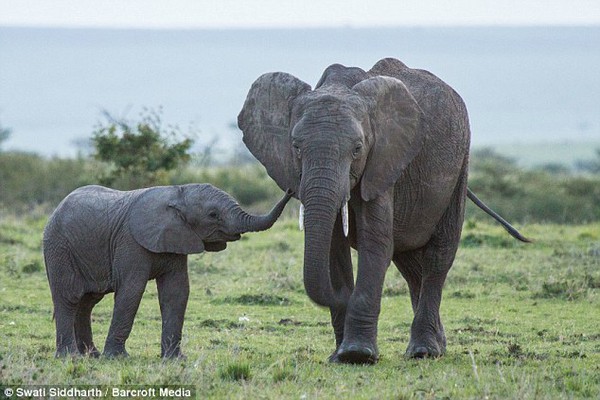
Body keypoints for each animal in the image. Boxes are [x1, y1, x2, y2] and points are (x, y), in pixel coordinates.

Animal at [43, 184, 292, 360]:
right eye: (213, 214)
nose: (290, 189)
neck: (178, 193)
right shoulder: (130, 242)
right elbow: (131, 291)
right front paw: (117, 358)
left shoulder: (177, 240)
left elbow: (177, 292)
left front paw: (175, 360)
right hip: (59, 248)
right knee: (69, 297)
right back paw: (71, 357)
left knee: (87, 302)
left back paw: (91, 355)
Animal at [237, 57, 528, 364]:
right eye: (296, 147)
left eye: (357, 148)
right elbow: (333, 248)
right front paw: (340, 355)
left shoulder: (384, 161)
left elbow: (374, 242)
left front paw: (357, 354)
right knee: (410, 265)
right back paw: (436, 345)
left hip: (460, 165)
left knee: (438, 257)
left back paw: (424, 351)